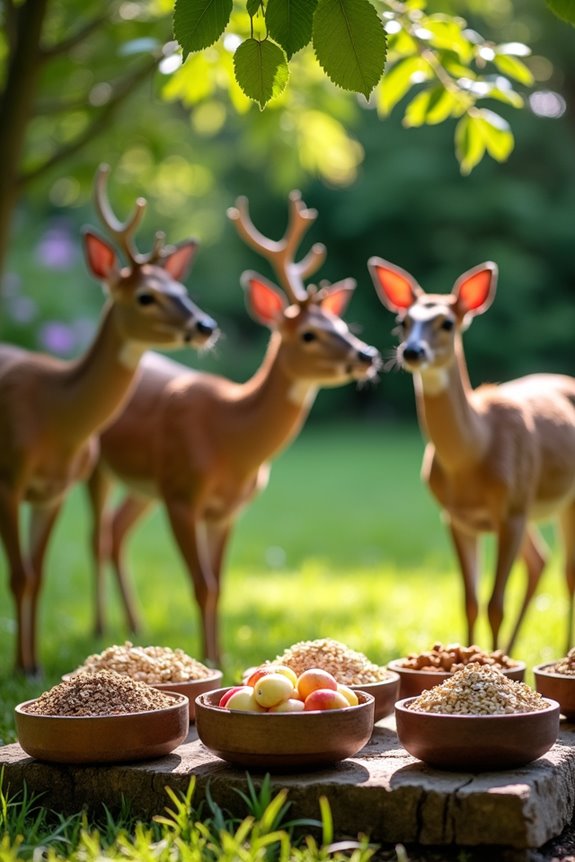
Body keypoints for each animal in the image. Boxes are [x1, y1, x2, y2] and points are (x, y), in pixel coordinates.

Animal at [0, 164, 218, 676]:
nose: (204, 326)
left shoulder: (53, 490)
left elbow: (35, 576)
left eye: (182, 290)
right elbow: (18, 576)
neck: (53, 413)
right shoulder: (9, 481)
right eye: (145, 296)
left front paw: (32, 664)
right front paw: (21, 668)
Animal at [85, 191, 381, 665]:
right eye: (309, 334)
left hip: (144, 486)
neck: (230, 435)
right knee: (96, 536)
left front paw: (220, 657)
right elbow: (202, 585)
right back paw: (99, 627)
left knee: (116, 532)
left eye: (341, 324)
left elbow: (220, 587)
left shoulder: (226, 509)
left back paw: (134, 625)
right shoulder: (183, 495)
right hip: (97, 465)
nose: (367, 354)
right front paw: (208, 661)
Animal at [368, 256, 575, 655]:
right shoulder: (457, 517)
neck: (474, 451)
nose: (412, 351)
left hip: (553, 503)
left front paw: (494, 662)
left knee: (566, 571)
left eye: (447, 323)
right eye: (403, 321)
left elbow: (496, 604)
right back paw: (513, 649)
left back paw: (559, 654)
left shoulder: (511, 511)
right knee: (540, 562)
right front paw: (471, 654)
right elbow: (470, 602)